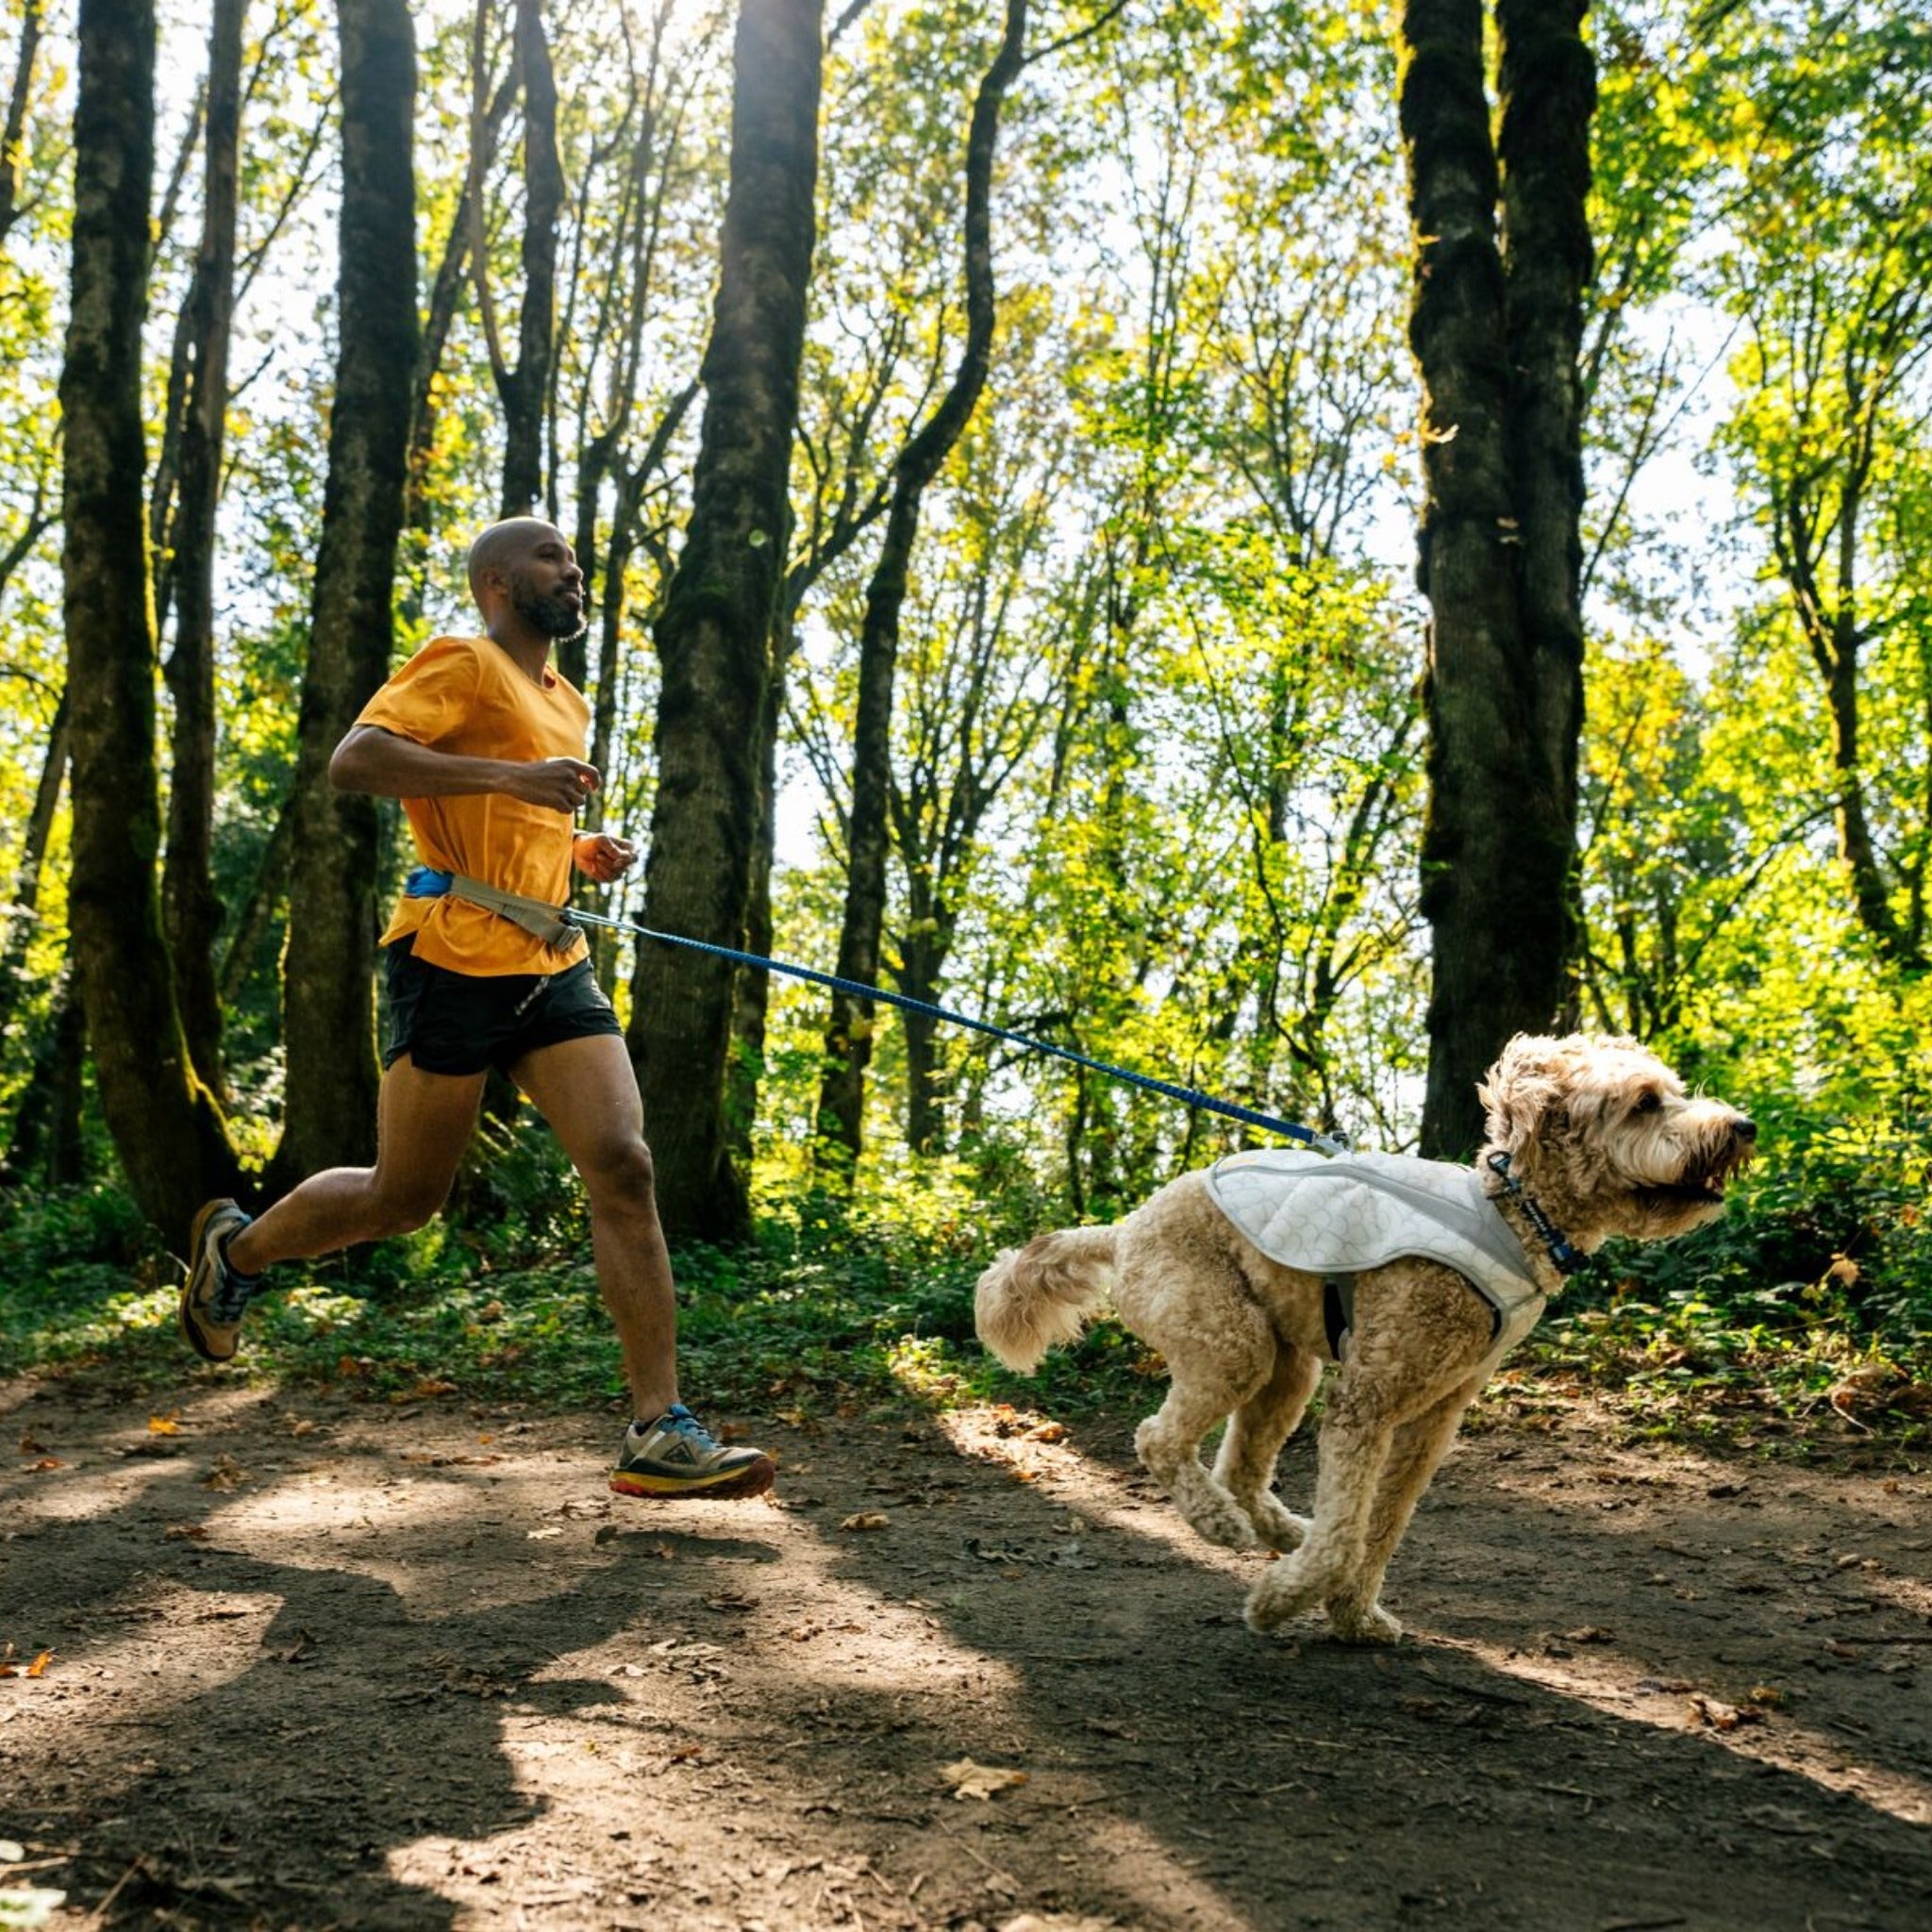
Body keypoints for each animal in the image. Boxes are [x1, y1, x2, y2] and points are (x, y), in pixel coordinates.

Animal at [974, 1035, 1761, 1638]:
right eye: (1645, 1102)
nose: (1744, 1126)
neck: (1513, 1217)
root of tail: (1124, 1228)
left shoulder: (1432, 1420)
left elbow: (1380, 1527)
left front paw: (1352, 1615)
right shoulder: (1369, 1403)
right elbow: (1351, 1530)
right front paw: (1284, 1601)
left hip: (1287, 1367)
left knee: (1241, 1467)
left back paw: (1281, 1531)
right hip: (1229, 1338)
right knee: (1160, 1440)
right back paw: (1223, 1526)